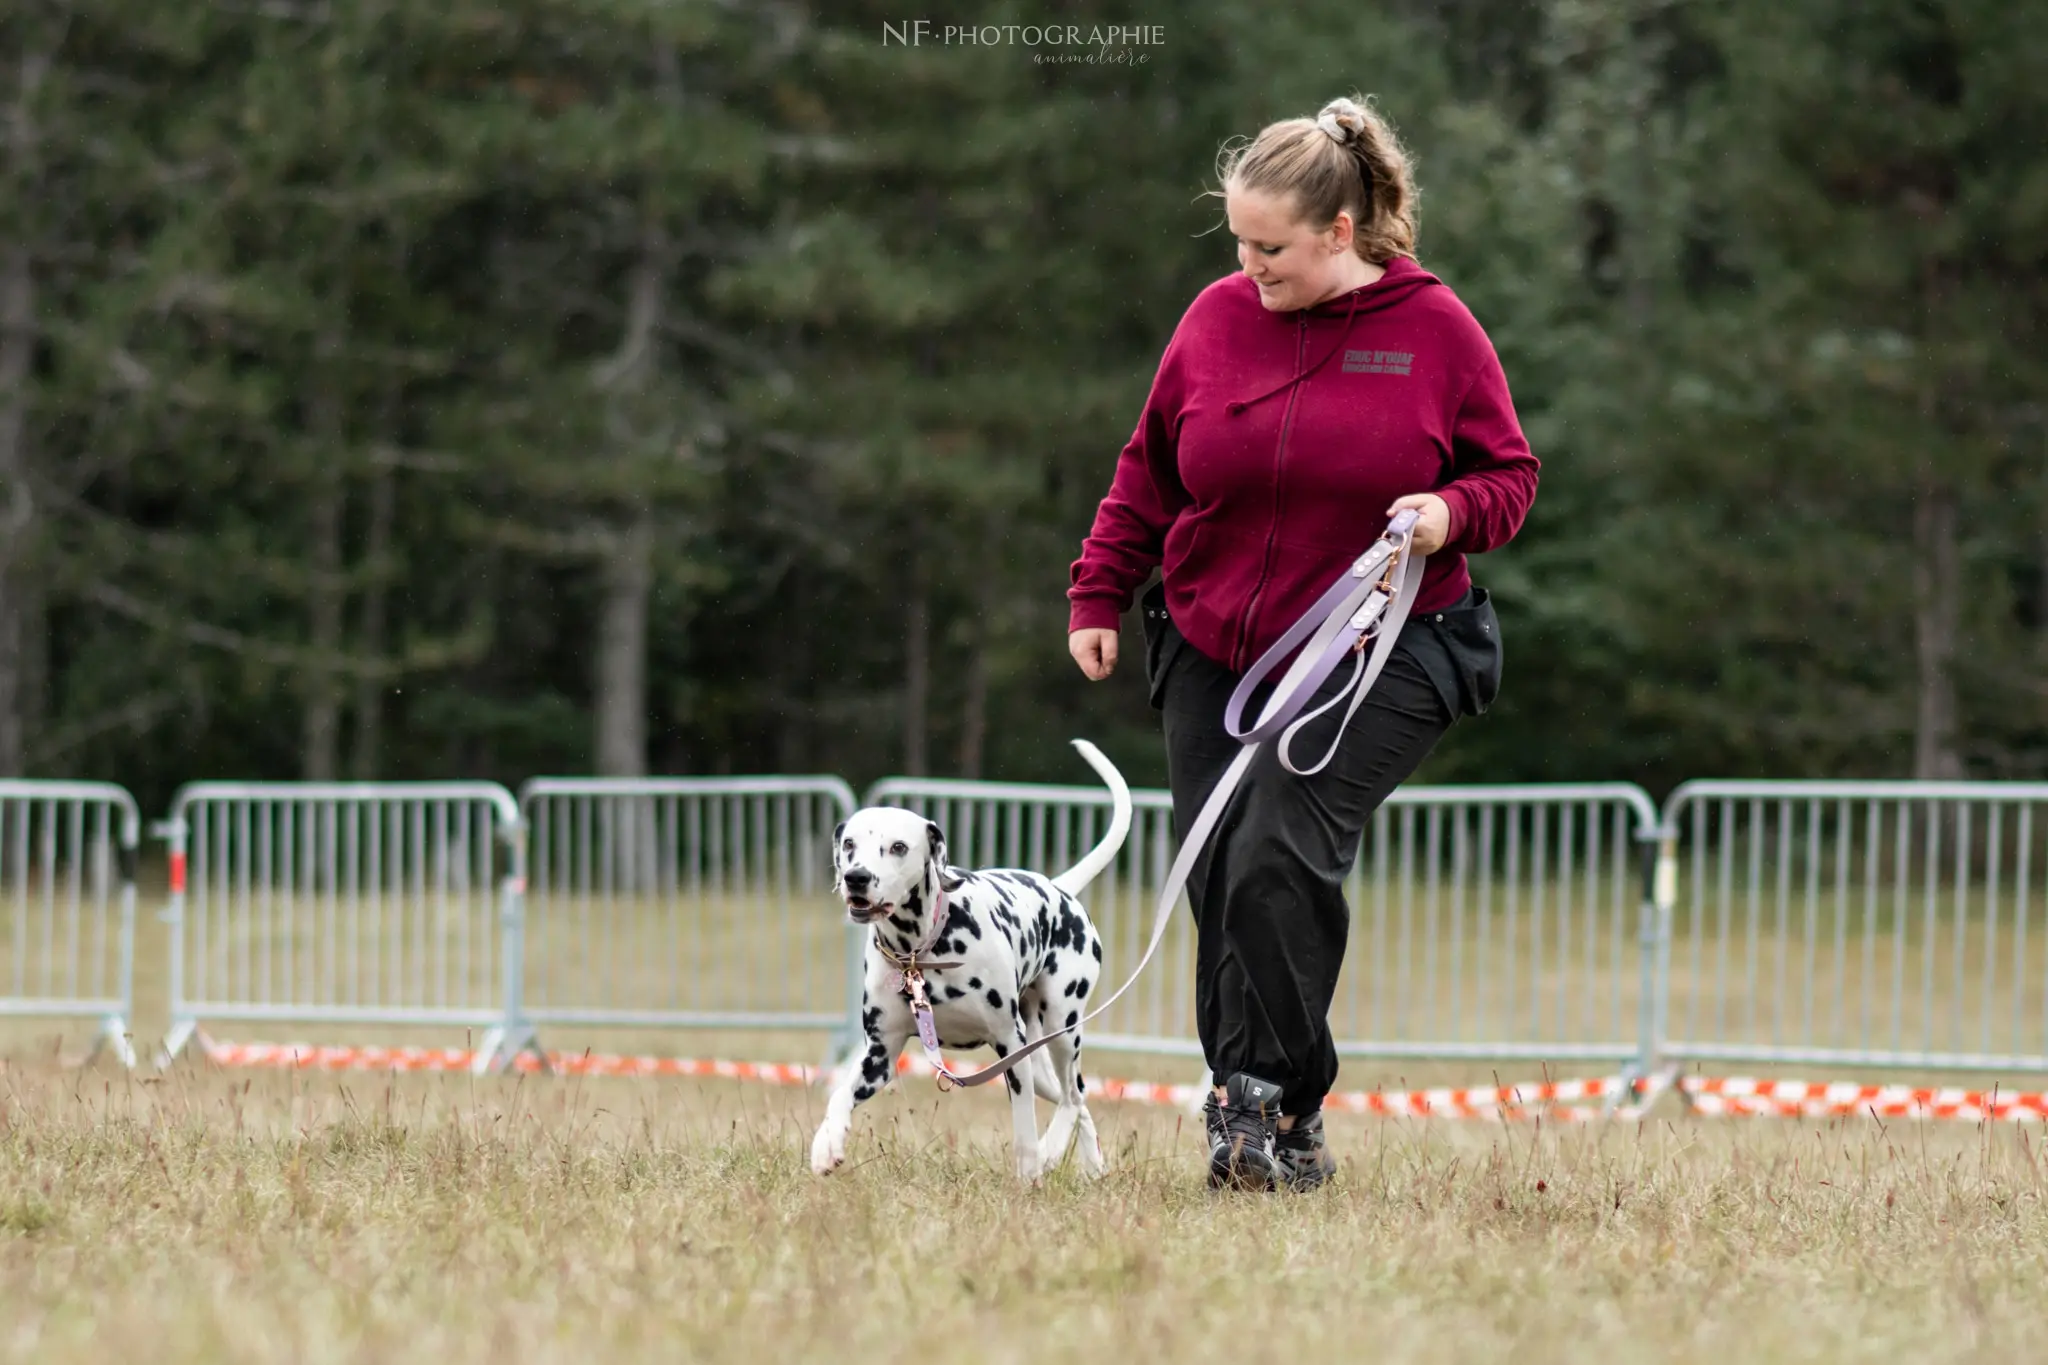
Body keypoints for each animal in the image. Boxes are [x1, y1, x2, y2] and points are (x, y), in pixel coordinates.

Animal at [811, 740, 1138, 1178]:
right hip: (1040, 1059)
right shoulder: (879, 1056)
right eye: (849, 844)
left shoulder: (1009, 1048)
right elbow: (840, 1096)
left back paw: (1051, 1151)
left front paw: (1030, 1173)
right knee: (1080, 1102)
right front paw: (826, 1144)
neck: (921, 952)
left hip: (1061, 1030)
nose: (856, 878)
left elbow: (1024, 1131)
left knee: (1074, 1095)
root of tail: (1059, 888)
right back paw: (1092, 1168)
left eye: (898, 847)